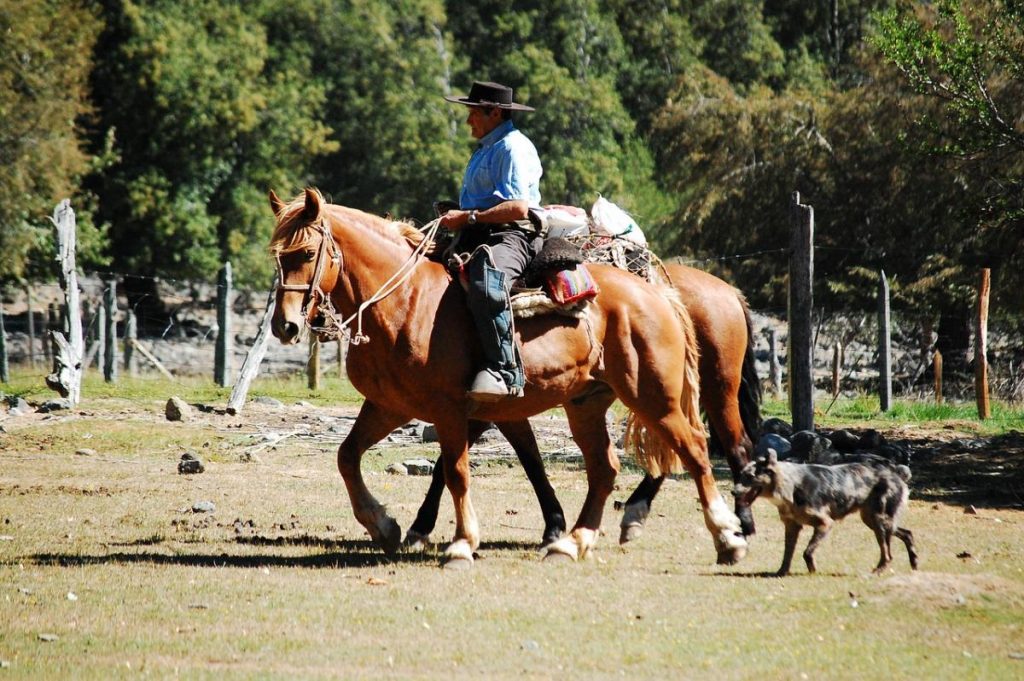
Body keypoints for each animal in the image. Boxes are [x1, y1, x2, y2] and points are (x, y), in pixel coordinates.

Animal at [405, 262, 761, 548]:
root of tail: (729, 292)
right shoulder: (501, 410)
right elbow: (529, 458)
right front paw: (554, 524)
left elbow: (450, 463)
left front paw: (420, 527)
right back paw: (636, 514)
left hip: (712, 389)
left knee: (729, 444)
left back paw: (739, 523)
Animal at [733, 450, 917, 573]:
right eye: (741, 475)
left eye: (749, 477)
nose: (733, 492)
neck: (790, 485)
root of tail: (896, 473)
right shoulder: (792, 527)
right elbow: (787, 554)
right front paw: (781, 573)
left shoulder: (825, 523)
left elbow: (807, 552)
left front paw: (813, 571)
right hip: (873, 520)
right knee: (907, 534)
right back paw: (914, 563)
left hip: (879, 521)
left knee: (888, 555)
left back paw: (878, 571)